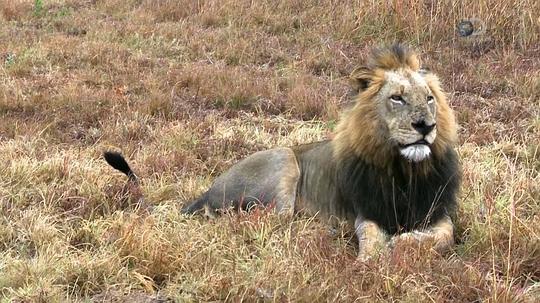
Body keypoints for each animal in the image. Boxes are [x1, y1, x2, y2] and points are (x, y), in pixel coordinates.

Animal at [104, 45, 460, 262]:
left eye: (429, 98)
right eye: (397, 98)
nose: (426, 126)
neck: (405, 171)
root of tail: (207, 190)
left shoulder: (437, 210)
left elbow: (445, 236)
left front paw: (404, 243)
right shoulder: (367, 211)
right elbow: (370, 236)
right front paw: (371, 260)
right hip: (284, 160)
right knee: (258, 220)